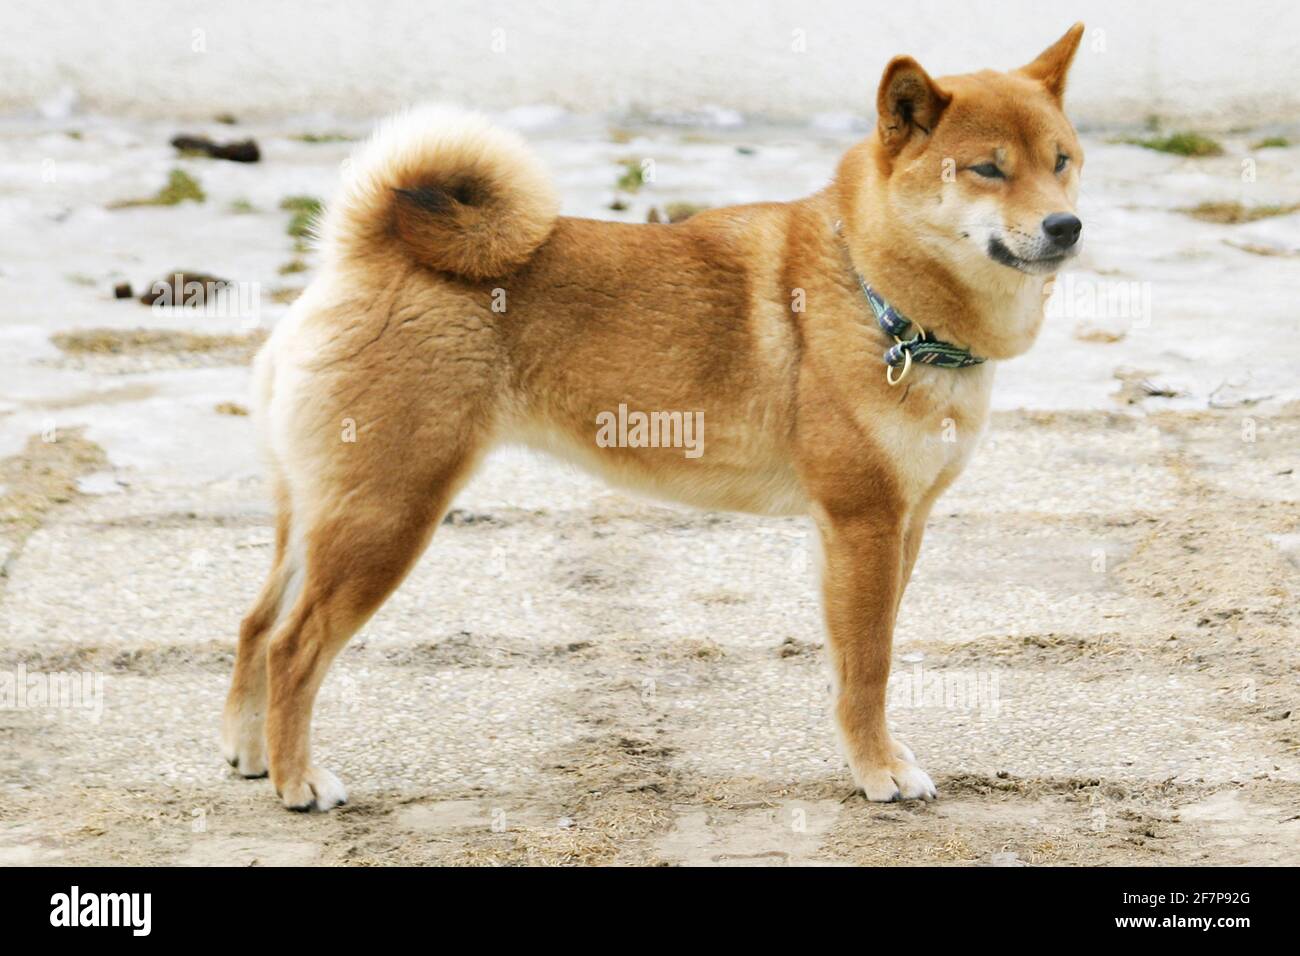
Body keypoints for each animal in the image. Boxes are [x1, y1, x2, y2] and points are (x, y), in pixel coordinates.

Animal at [220, 26, 1086, 811]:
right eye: (986, 169)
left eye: (1061, 161)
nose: (1066, 226)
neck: (880, 296)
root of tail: (364, 254)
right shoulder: (862, 522)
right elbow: (869, 666)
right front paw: (880, 772)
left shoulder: (902, 526)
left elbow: (863, 661)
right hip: (388, 517)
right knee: (294, 647)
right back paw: (298, 782)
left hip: (323, 513)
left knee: (257, 626)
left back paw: (251, 754)